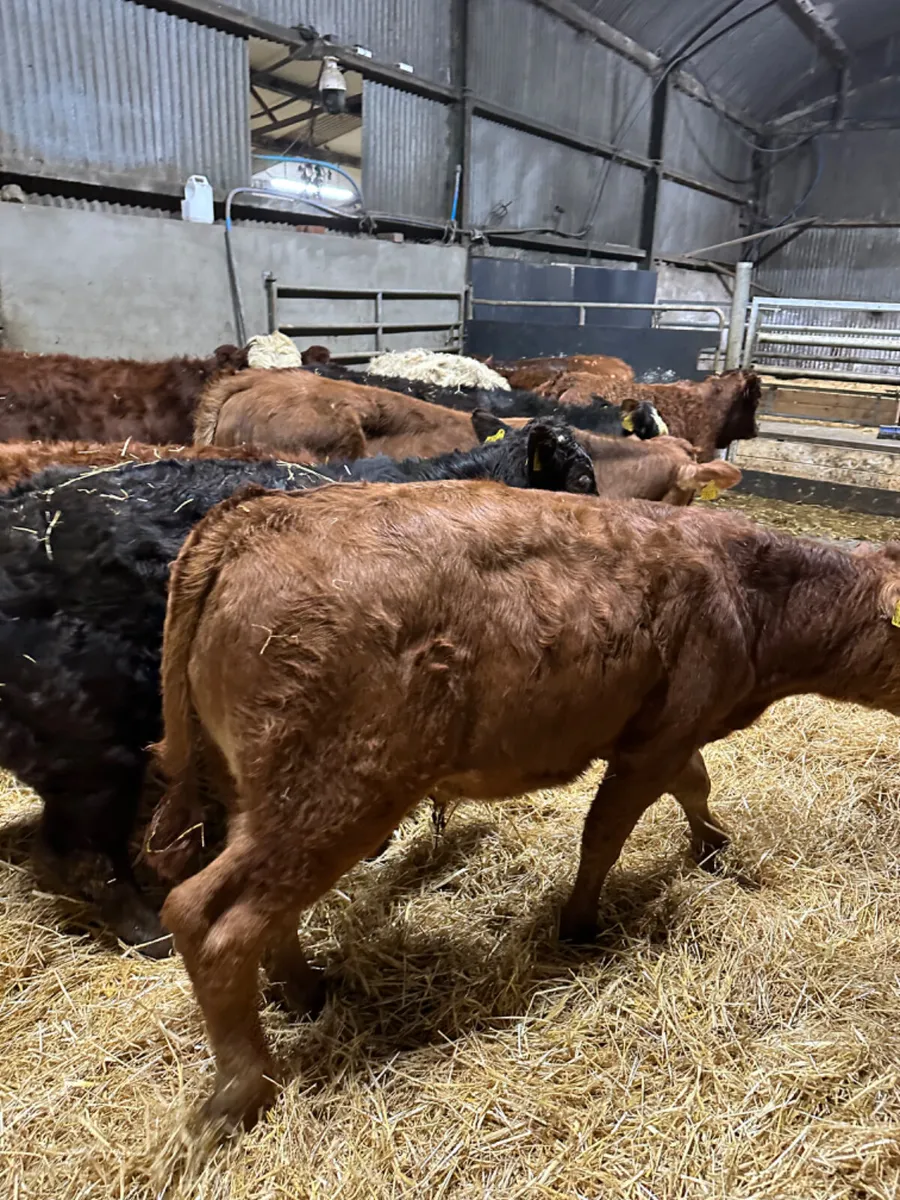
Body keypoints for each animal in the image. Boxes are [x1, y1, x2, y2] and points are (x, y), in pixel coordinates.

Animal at [151, 482, 900, 1128]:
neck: (752, 589)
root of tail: (256, 514)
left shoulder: (668, 733)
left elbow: (696, 784)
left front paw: (713, 846)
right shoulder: (658, 737)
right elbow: (606, 831)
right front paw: (581, 925)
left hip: (261, 793)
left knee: (257, 908)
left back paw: (303, 993)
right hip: (335, 794)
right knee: (209, 916)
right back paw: (243, 1092)